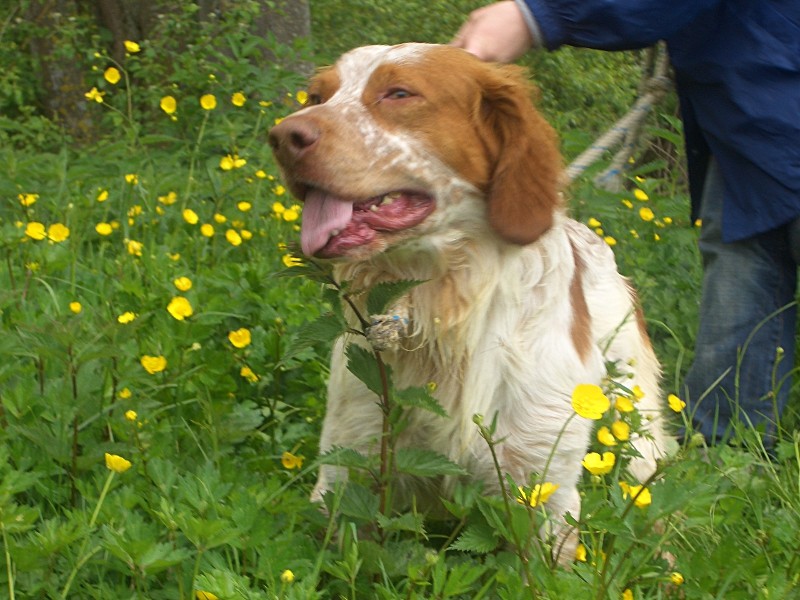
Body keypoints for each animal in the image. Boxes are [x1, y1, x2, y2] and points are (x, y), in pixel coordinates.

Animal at [268, 43, 668, 564]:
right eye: (316, 96)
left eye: (399, 93)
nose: (282, 136)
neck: (440, 311)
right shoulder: (349, 462)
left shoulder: (543, 492)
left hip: (634, 424)